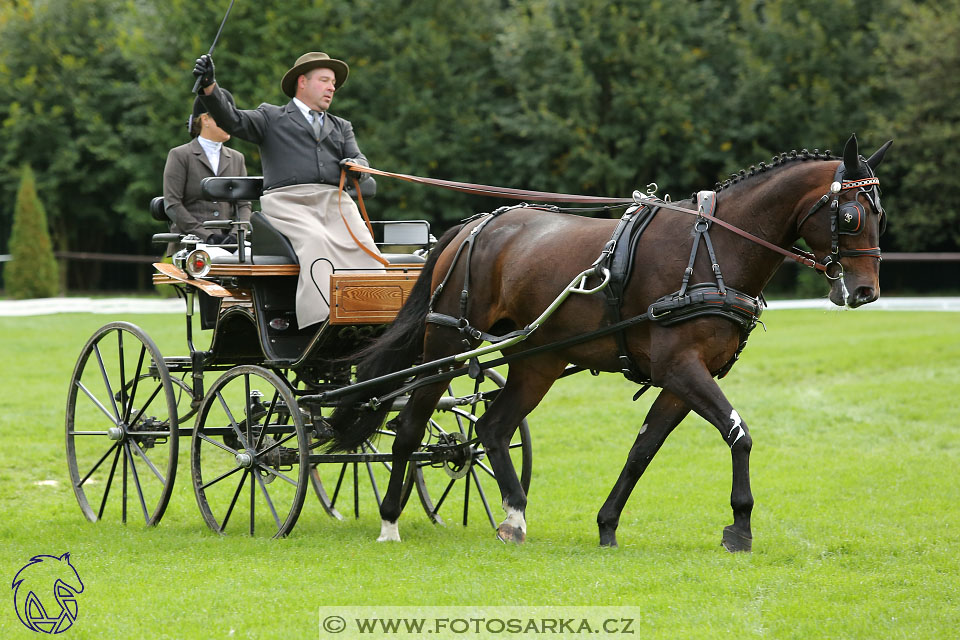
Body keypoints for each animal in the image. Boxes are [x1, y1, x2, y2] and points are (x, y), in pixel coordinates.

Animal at [324, 134, 892, 552]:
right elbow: (739, 433)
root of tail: (473, 226)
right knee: (408, 427)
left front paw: (608, 524)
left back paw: (514, 517)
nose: (865, 292)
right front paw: (740, 527)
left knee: (492, 426)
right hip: (446, 344)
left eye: (880, 215)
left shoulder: (683, 378)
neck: (713, 250)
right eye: (850, 216)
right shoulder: (680, 367)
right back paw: (390, 521)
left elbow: (643, 449)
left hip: (538, 362)